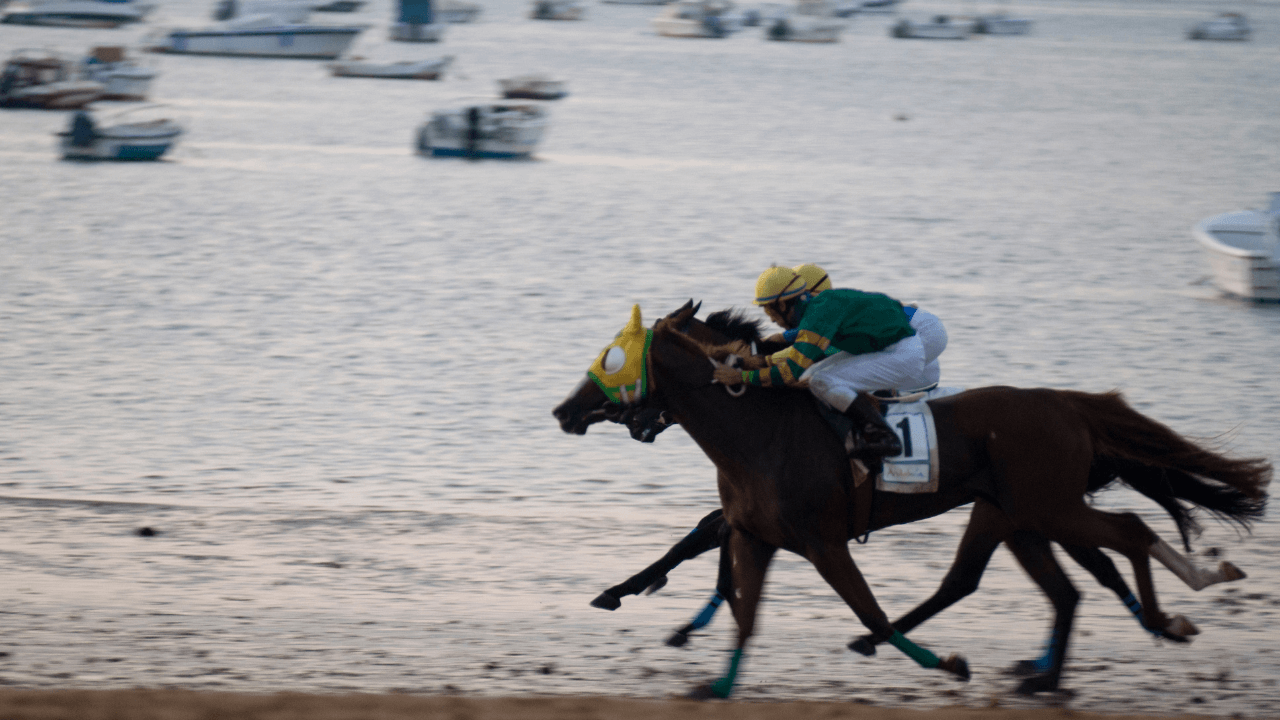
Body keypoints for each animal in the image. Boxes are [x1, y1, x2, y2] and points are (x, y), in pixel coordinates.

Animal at [553, 301, 1269, 698]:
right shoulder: (756, 533)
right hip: (1019, 515)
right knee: (1044, 584)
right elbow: (734, 587)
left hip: (1047, 508)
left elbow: (858, 605)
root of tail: (1069, 404)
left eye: (612, 358)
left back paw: (1168, 614)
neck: (759, 428)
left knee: (1121, 535)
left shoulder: (821, 540)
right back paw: (1055, 670)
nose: (564, 410)